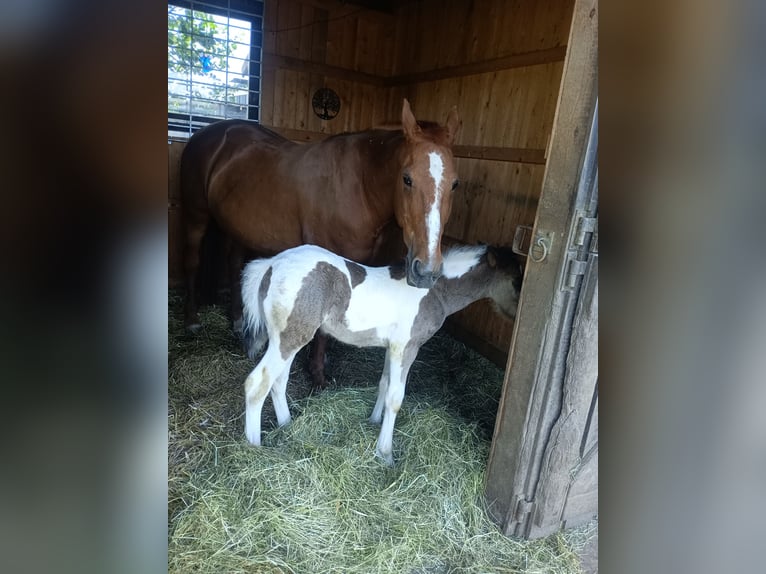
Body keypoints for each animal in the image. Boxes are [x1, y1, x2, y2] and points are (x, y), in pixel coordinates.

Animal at [181, 99, 461, 389]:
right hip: (195, 216)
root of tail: (209, 133)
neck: (358, 185)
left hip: (233, 227)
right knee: (192, 263)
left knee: (235, 264)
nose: (426, 271)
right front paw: (316, 374)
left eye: (454, 184)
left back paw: (238, 320)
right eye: (407, 179)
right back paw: (191, 321)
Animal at [240, 243, 523, 466]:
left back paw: (288, 426)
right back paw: (254, 448)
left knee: (278, 382)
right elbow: (395, 398)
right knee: (257, 383)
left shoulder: (392, 347)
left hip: (286, 339)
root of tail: (271, 264)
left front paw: (374, 422)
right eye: (514, 281)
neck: (433, 292)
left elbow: (384, 384)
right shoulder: (406, 348)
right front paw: (385, 454)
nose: (516, 318)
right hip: (290, 339)